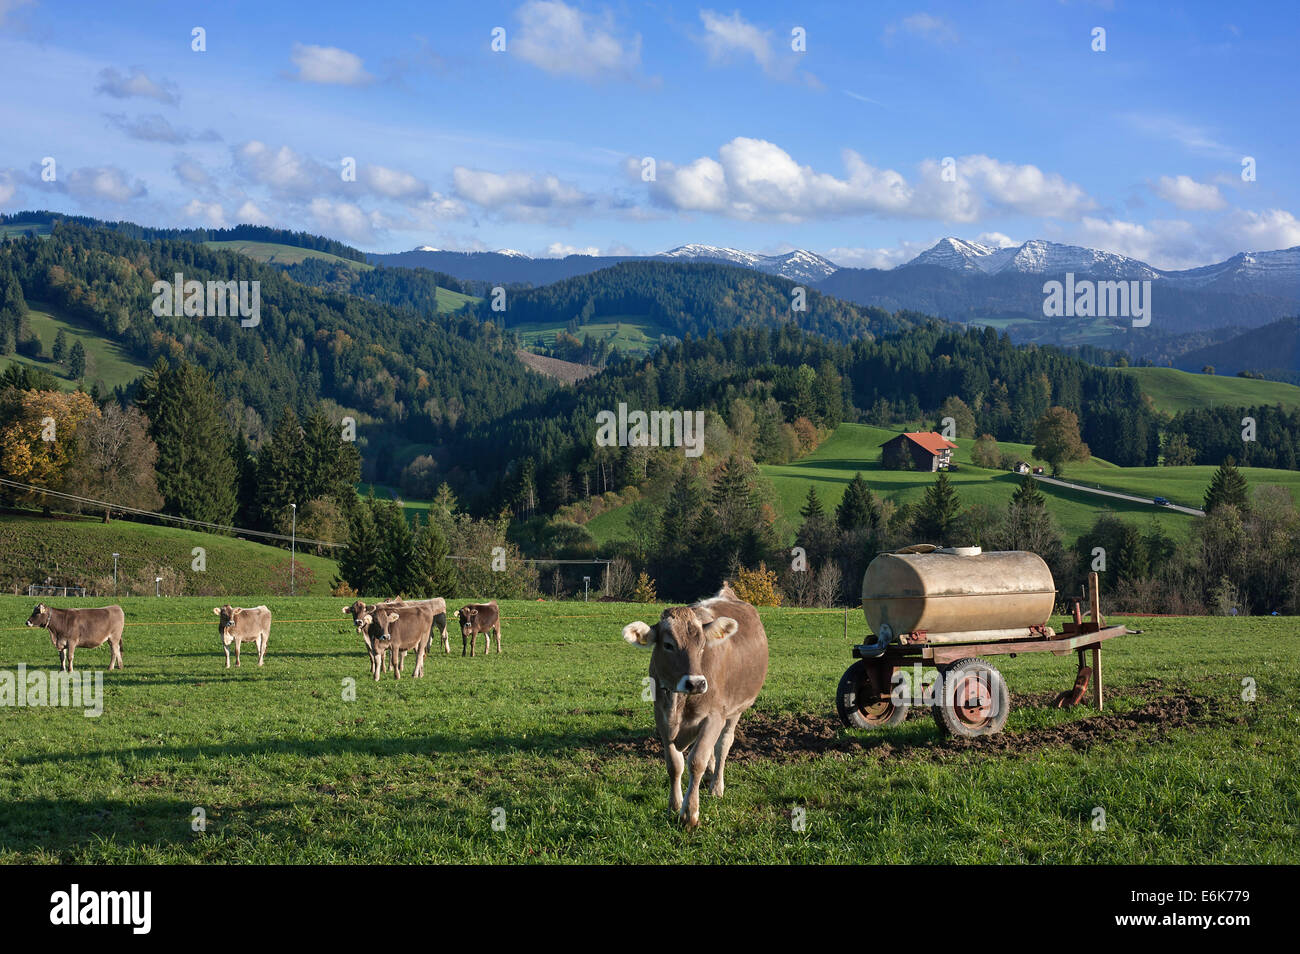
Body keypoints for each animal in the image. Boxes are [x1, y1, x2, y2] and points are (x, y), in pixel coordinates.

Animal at [621, 582, 764, 831]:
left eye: (702, 645)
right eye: (668, 645)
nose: (696, 683)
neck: (679, 702)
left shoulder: (714, 716)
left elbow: (696, 761)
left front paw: (690, 814)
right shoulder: (661, 718)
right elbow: (674, 764)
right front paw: (674, 805)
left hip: (735, 710)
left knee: (723, 744)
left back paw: (716, 786)